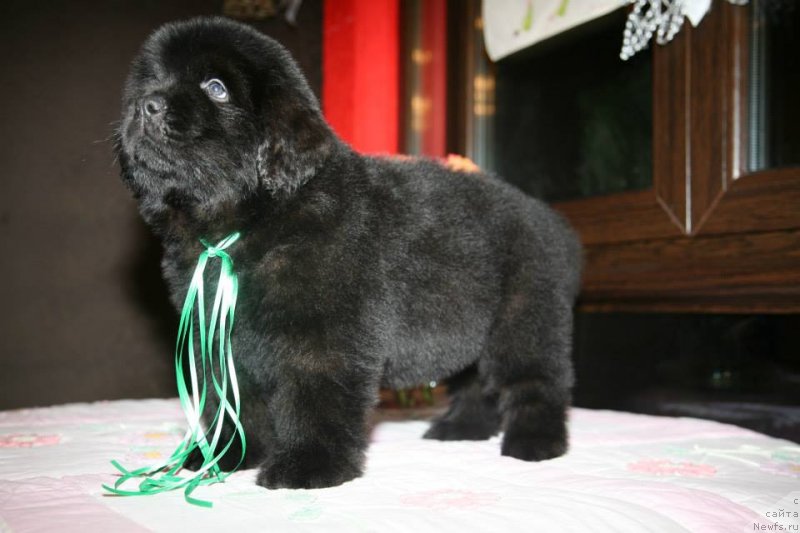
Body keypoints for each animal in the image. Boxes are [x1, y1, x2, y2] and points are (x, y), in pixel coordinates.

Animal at [117, 17, 580, 490]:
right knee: (475, 383)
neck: (254, 222)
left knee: (536, 383)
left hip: (524, 321)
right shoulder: (215, 336)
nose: (147, 106)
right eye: (152, 82)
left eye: (216, 88)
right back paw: (460, 428)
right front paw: (224, 455)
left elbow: (315, 401)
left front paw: (308, 465)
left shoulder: (324, 339)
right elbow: (230, 402)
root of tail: (552, 222)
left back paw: (535, 442)